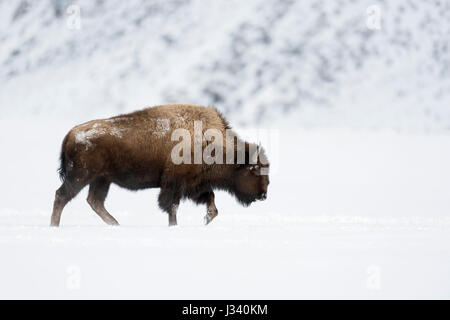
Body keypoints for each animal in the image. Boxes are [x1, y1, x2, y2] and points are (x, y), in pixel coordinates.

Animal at [52, 104, 270, 226]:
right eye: (254, 171)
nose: (263, 194)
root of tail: (70, 133)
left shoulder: (195, 185)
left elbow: (210, 200)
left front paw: (207, 219)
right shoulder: (175, 184)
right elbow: (172, 207)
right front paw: (174, 226)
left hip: (101, 180)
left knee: (95, 201)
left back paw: (116, 224)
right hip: (81, 176)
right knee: (62, 196)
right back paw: (55, 226)